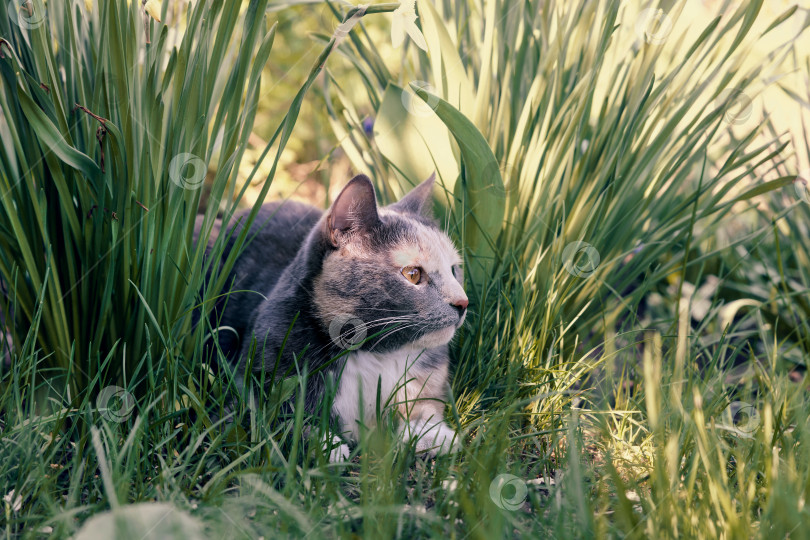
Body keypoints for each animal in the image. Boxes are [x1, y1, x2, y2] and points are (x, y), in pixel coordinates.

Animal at [193, 174, 468, 460]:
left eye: (453, 270)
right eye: (412, 274)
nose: (463, 302)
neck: (375, 357)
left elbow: (425, 407)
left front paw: (431, 435)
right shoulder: (255, 382)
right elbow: (277, 421)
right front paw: (326, 446)